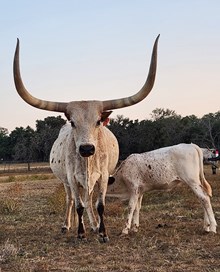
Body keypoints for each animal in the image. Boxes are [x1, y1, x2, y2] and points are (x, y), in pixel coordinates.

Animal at [12, 35, 160, 241]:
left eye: (98, 121)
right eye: (73, 122)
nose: (87, 148)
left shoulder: (104, 177)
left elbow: (99, 205)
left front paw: (102, 232)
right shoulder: (72, 178)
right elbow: (79, 205)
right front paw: (80, 233)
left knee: (88, 199)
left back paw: (94, 225)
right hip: (67, 181)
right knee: (71, 200)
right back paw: (67, 225)